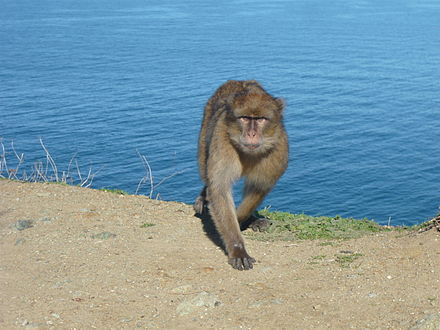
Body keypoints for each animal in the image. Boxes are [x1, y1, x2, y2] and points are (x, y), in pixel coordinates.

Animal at [193, 80, 288, 270]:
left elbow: (259, 187)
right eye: (245, 118)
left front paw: (241, 218)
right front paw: (237, 248)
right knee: (205, 167)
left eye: (260, 119)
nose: (251, 133)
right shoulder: (222, 139)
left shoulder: (277, 149)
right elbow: (219, 189)